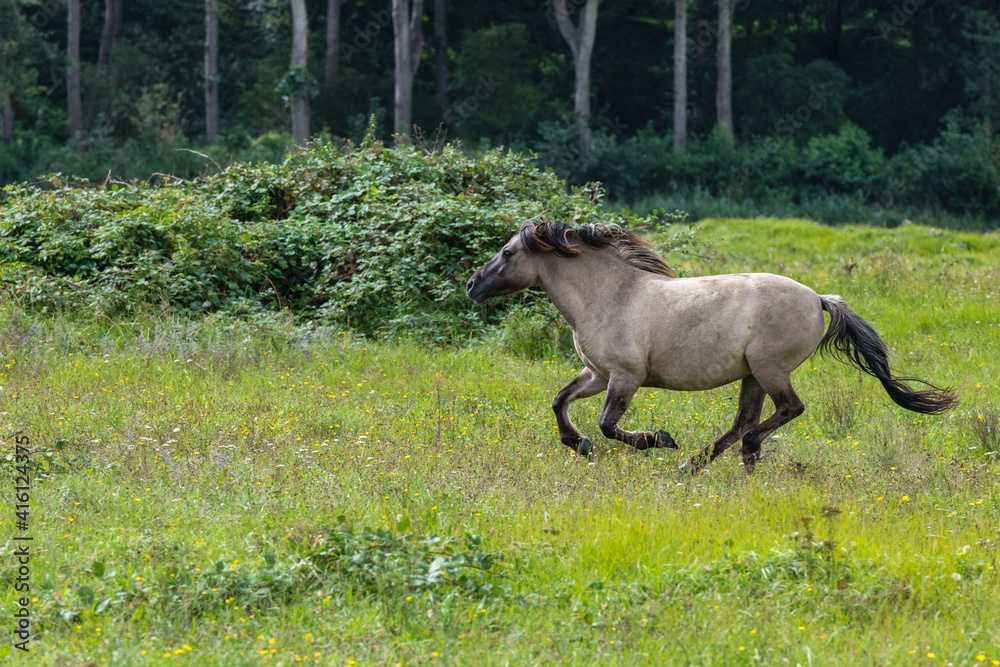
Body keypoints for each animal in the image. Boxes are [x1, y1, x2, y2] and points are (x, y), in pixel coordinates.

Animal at [466, 216, 958, 472]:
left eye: (507, 253)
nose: (472, 285)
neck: (610, 295)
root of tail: (820, 298)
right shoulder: (597, 374)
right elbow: (559, 400)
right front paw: (578, 445)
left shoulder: (625, 377)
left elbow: (608, 425)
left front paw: (659, 440)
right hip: (752, 375)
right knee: (746, 421)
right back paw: (708, 463)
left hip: (769, 369)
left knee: (785, 411)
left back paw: (721, 456)